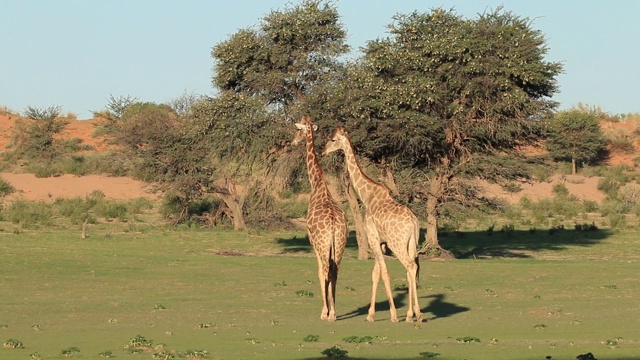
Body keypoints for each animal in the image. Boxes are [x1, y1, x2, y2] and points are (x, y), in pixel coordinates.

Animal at [292, 115, 348, 320]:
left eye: (298, 130)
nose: (293, 141)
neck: (317, 184)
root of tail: (332, 224)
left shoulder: (313, 242)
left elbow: (317, 272)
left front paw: (325, 310)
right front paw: (331, 309)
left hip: (324, 244)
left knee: (324, 271)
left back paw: (326, 313)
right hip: (340, 244)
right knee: (335, 272)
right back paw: (334, 313)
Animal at [322, 126, 422, 324]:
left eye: (333, 139)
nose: (323, 151)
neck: (367, 196)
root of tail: (414, 223)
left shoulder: (374, 238)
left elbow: (383, 272)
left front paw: (392, 314)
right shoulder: (380, 243)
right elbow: (376, 274)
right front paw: (370, 314)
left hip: (397, 243)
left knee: (410, 266)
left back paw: (411, 314)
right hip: (411, 243)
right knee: (412, 269)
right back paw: (414, 313)